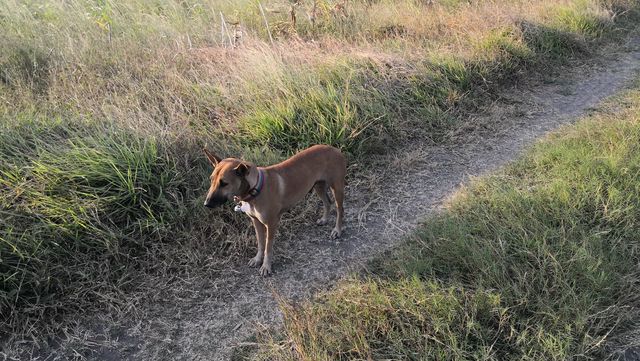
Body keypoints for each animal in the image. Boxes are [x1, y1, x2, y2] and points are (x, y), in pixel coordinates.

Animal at [204, 145, 344, 274]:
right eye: (211, 179)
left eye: (224, 183)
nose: (206, 204)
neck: (256, 188)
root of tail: (335, 149)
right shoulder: (256, 222)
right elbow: (260, 244)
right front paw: (257, 259)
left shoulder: (271, 224)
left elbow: (268, 247)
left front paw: (266, 266)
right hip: (318, 185)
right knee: (327, 202)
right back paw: (324, 219)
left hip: (336, 187)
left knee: (340, 209)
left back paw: (337, 230)